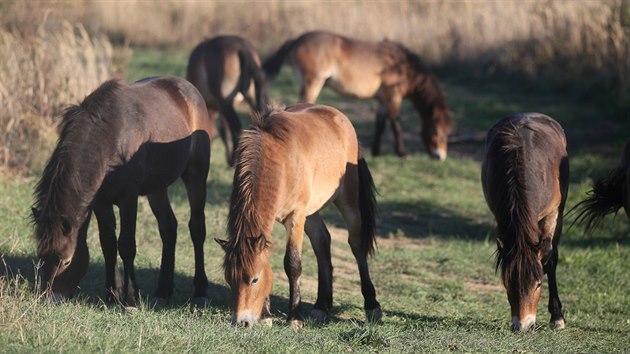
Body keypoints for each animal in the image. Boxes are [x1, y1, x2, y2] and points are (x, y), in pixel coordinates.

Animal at [31, 76, 215, 306]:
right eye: (41, 256)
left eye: (66, 262)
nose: (49, 297)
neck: (110, 138)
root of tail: (187, 87)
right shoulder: (101, 202)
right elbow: (108, 244)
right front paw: (112, 294)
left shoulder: (129, 199)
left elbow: (126, 245)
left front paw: (131, 298)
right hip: (157, 188)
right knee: (168, 227)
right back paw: (163, 289)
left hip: (196, 175)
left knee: (197, 228)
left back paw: (200, 290)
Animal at [185, 35, 270, 167]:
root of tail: (242, 47)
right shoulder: (221, 108)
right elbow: (224, 131)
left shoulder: (222, 105)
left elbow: (225, 132)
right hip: (249, 98)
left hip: (226, 102)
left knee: (236, 125)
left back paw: (235, 159)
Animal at [215, 103, 382, 328]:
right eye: (229, 279)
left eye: (254, 279)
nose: (241, 322)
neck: (279, 162)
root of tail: (339, 116)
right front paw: (266, 316)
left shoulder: (295, 217)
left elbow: (293, 264)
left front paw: (294, 318)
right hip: (311, 212)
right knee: (322, 242)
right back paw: (321, 307)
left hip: (347, 202)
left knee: (356, 245)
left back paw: (372, 306)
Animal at [262, 30, 454, 160]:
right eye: (435, 130)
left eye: (447, 132)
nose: (440, 156)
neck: (403, 65)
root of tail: (298, 39)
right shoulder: (393, 96)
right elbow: (396, 123)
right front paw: (402, 152)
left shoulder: (382, 100)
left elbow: (380, 124)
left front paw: (376, 151)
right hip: (313, 82)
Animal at [484, 113, 572, 332]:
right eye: (507, 284)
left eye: (539, 284)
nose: (523, 326)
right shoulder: (500, 217)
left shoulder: (552, 214)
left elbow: (550, 259)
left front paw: (557, 318)